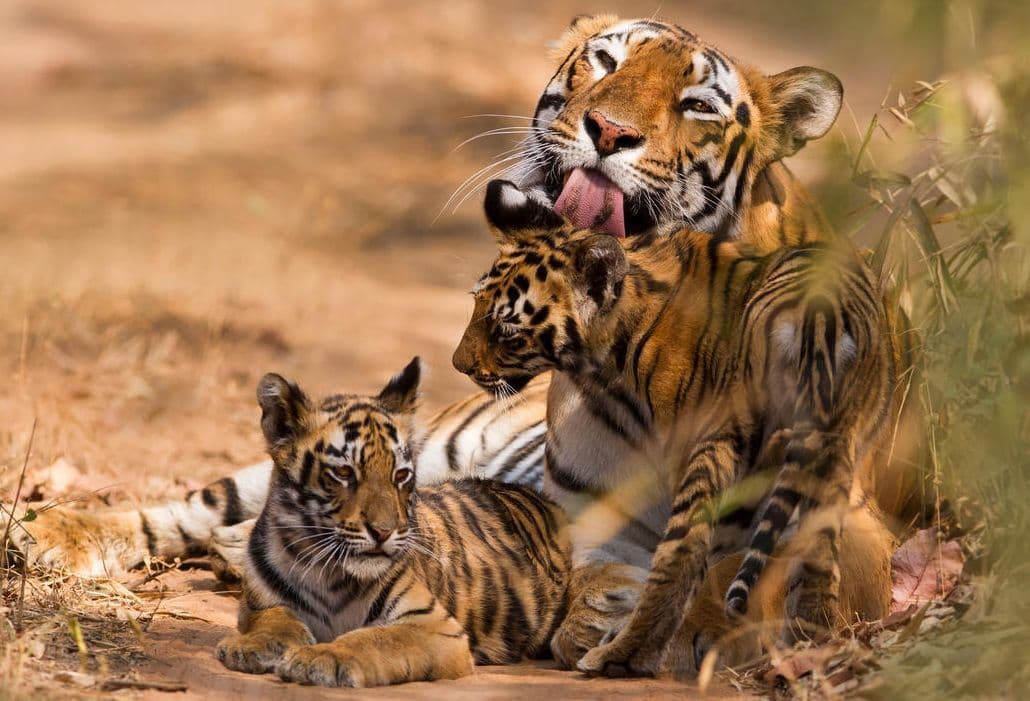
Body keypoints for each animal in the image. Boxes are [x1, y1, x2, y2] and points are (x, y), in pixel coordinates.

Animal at [216, 357, 570, 688]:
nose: (383, 532)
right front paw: (248, 647)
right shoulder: (260, 604)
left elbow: (374, 639)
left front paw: (321, 657)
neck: (323, 571)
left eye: (400, 475)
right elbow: (275, 620)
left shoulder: (435, 627)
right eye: (343, 472)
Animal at [451, 179, 902, 676]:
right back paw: (809, 638)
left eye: (508, 333)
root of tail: (818, 317)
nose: (458, 364)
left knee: (687, 558)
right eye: (475, 305)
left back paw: (626, 654)